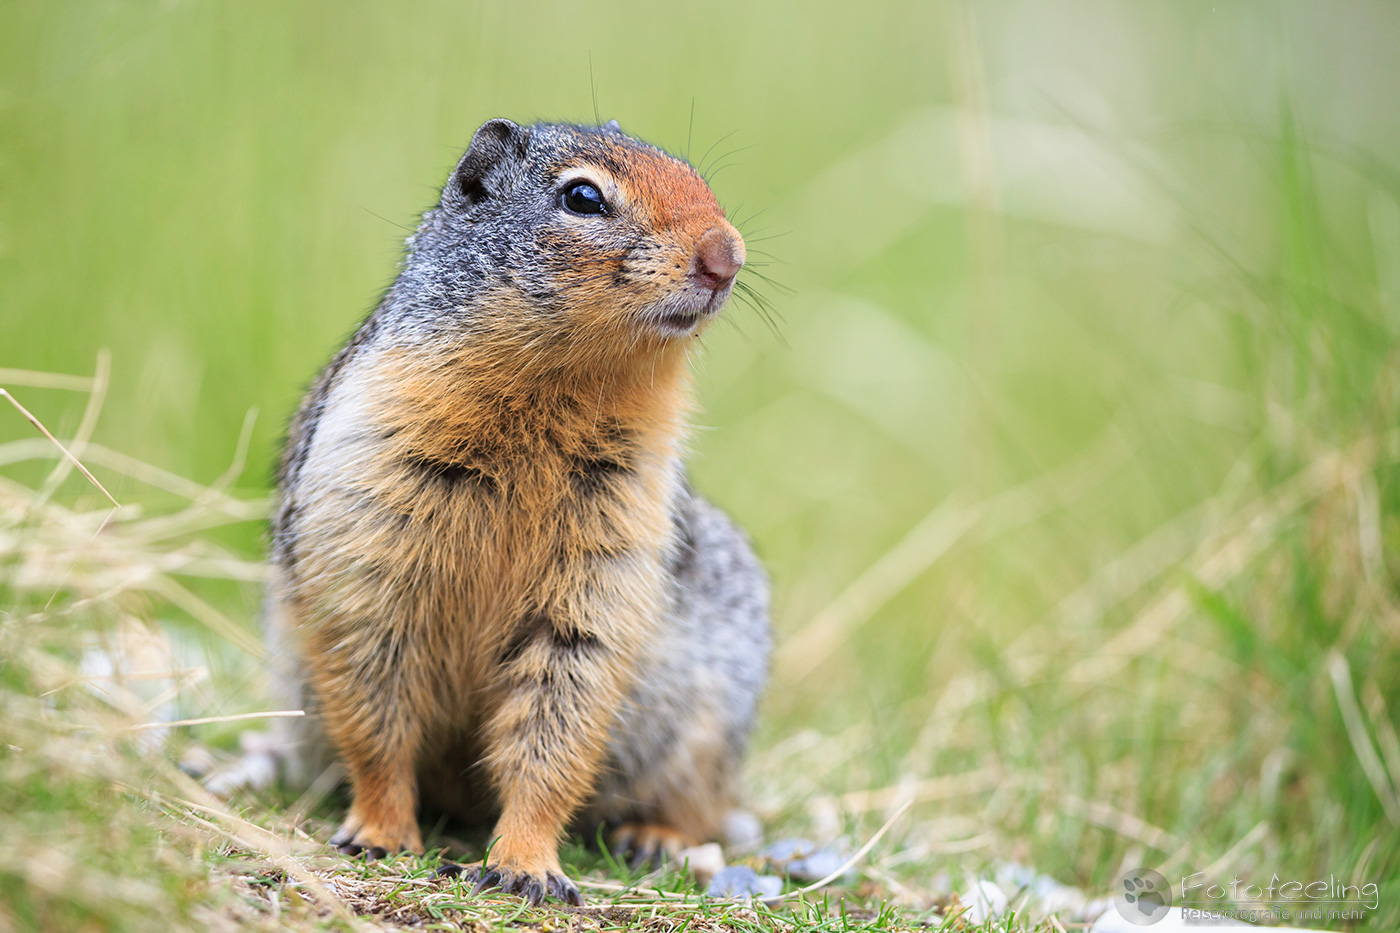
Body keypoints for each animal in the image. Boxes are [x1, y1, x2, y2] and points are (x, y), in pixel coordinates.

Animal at [265, 118, 771, 907]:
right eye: (583, 197)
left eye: (696, 176)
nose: (727, 255)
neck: (563, 389)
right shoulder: (368, 531)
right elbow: (377, 710)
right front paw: (379, 832)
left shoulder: (606, 562)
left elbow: (556, 727)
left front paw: (525, 865)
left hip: (711, 722)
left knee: (702, 802)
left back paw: (655, 835)